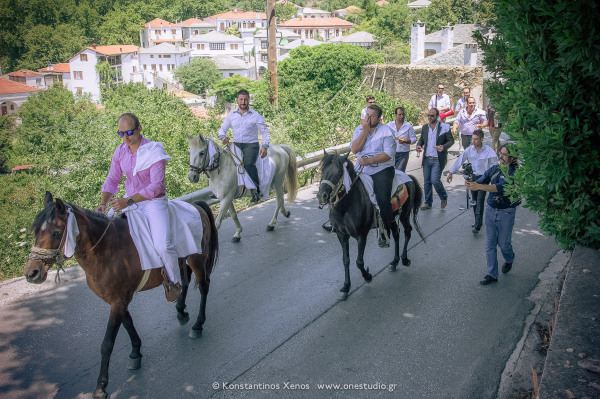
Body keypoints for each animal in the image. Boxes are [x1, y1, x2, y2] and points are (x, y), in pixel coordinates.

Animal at [25, 192, 220, 398]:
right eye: (36, 231)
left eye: (56, 233)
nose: (32, 273)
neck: (106, 250)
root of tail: (196, 205)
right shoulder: (117, 299)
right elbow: (128, 324)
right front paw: (136, 352)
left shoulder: (118, 301)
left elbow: (107, 343)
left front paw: (101, 386)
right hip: (183, 260)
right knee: (185, 280)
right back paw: (181, 311)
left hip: (197, 259)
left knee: (204, 286)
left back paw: (198, 325)